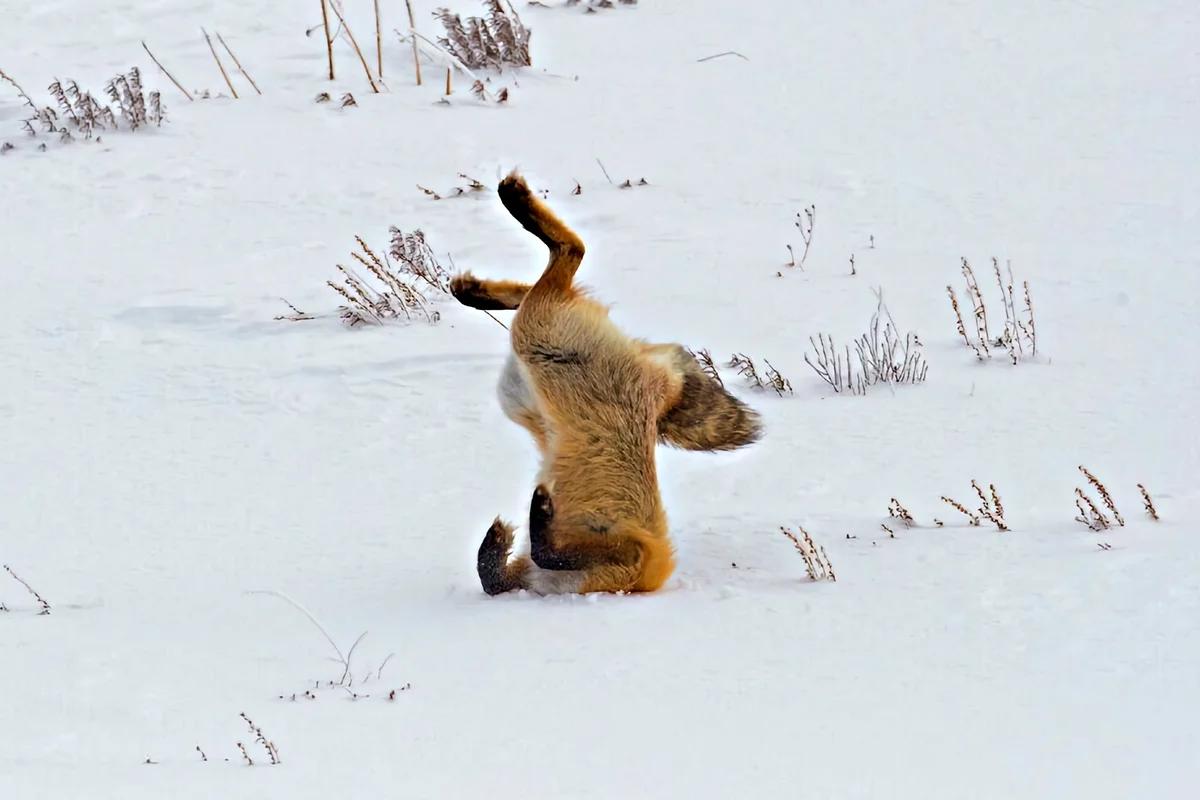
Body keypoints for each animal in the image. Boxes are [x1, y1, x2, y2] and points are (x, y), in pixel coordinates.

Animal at [446, 169, 763, 594]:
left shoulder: (630, 555)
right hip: (529, 367)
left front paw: (530, 517)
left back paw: (510, 211)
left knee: (569, 253)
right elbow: (498, 575)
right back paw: (477, 284)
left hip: (533, 348)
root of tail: (658, 384)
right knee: (555, 271)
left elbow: (531, 560)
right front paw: (513, 530)